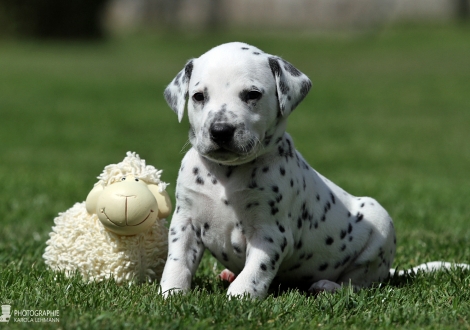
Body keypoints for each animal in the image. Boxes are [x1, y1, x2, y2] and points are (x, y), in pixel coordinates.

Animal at [160, 42, 468, 300]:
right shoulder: (184, 222)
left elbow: (257, 268)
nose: (221, 130)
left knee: (357, 283)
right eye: (198, 96)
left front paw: (241, 296)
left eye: (252, 95)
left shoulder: (271, 233)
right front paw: (172, 293)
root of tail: (388, 271)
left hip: (379, 231)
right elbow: (178, 261)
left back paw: (327, 286)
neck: (226, 174)